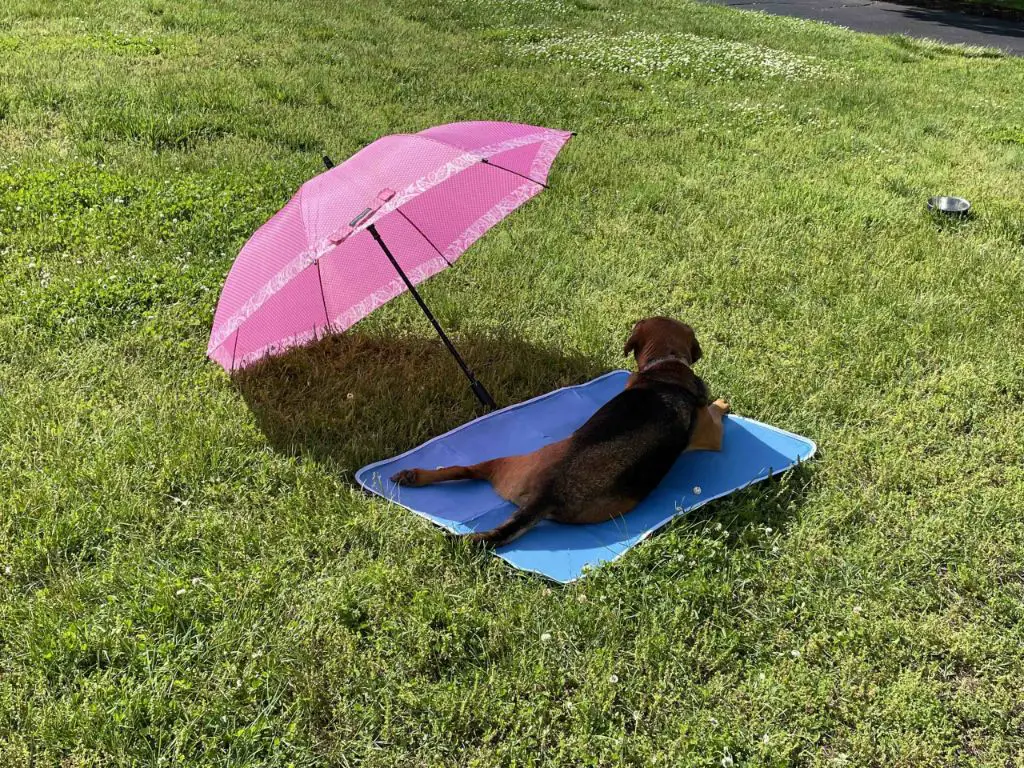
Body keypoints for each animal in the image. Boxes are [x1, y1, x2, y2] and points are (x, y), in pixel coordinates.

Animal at [387, 317, 733, 548]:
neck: (666, 368)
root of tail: (548, 494)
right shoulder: (711, 436)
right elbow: (716, 411)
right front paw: (723, 402)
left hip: (506, 466)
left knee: (466, 470)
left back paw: (414, 476)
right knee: (465, 468)